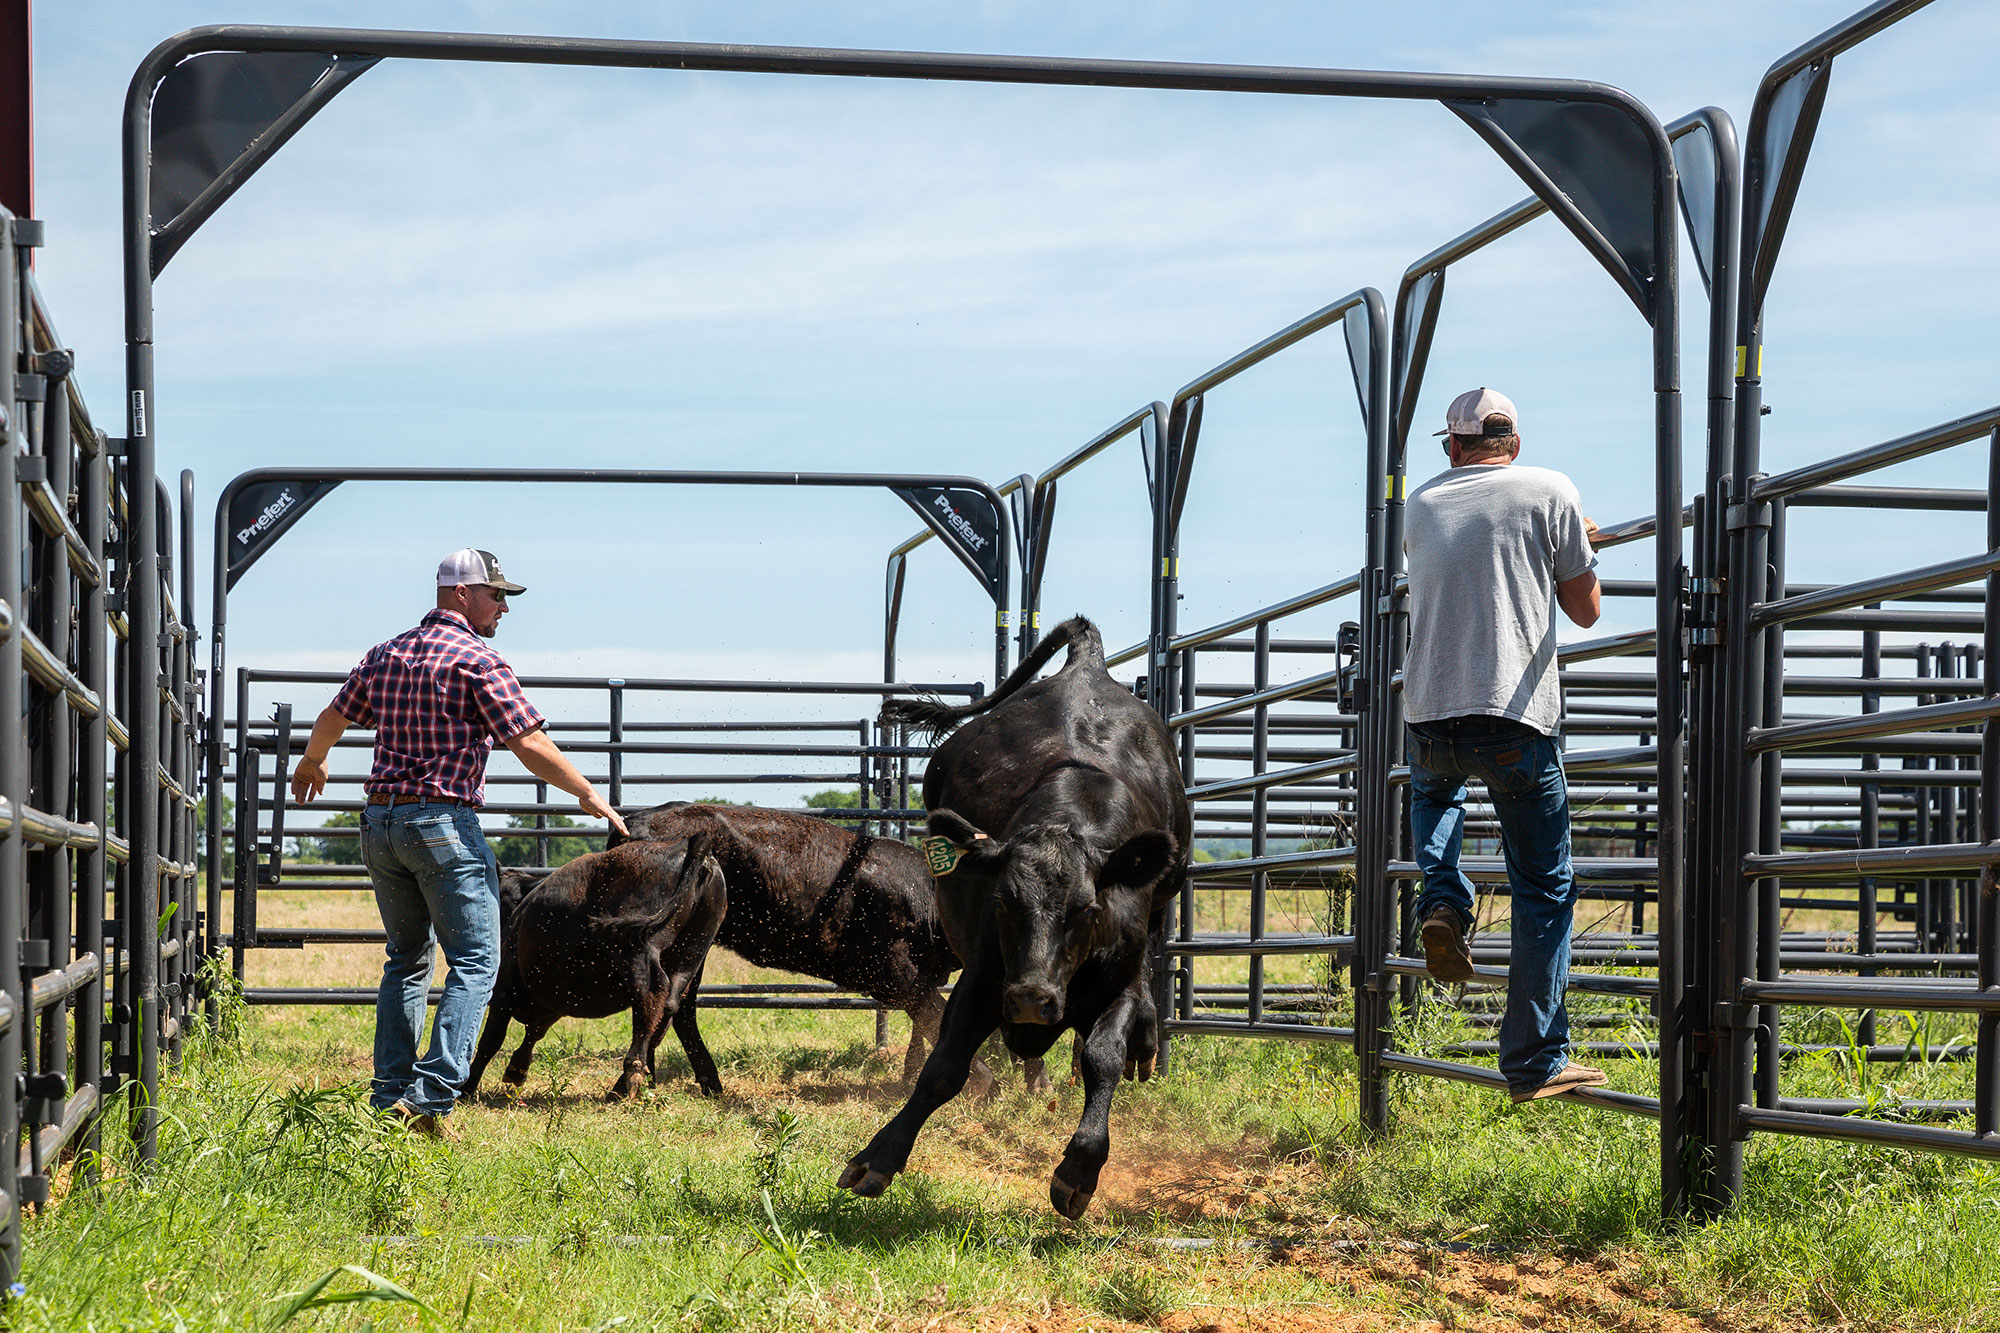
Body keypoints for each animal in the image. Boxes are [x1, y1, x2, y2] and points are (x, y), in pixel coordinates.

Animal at [462, 836, 728, 1096]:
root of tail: (689, 845)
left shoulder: (505, 988)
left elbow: (491, 1040)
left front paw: (467, 1088)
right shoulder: (552, 997)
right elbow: (534, 1030)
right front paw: (517, 1068)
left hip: (638, 948)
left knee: (653, 992)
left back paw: (633, 1071)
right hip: (690, 952)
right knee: (670, 1005)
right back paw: (625, 1085)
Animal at [832, 612, 1184, 1216]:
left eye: (1088, 910)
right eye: (1002, 901)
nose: (1029, 999)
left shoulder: (1114, 977)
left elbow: (1103, 1056)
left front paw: (1080, 1169)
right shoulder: (984, 976)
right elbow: (943, 1068)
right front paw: (879, 1156)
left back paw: (1141, 1041)